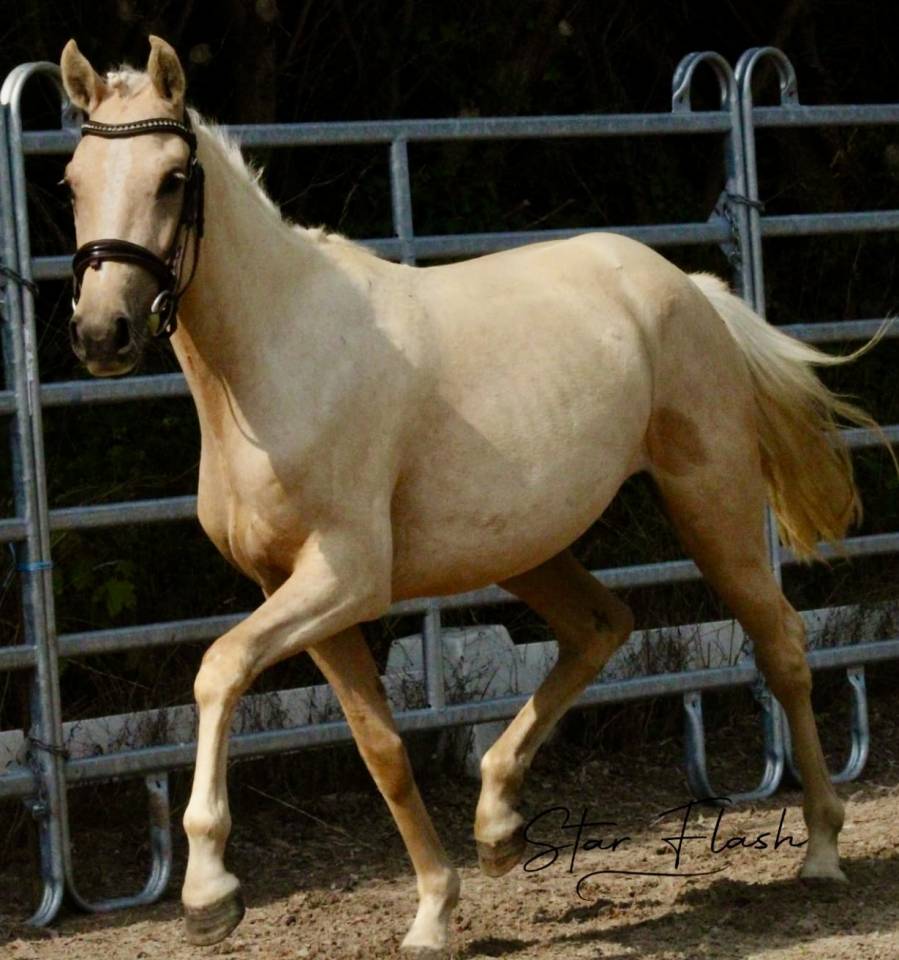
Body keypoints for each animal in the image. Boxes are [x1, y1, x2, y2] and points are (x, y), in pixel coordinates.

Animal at [59, 34, 878, 955]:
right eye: (72, 181)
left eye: (171, 177)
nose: (100, 333)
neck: (275, 362)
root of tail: (688, 287)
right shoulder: (296, 592)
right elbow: (379, 747)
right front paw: (432, 912)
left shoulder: (344, 579)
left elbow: (217, 670)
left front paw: (208, 893)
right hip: (525, 545)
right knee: (601, 626)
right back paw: (497, 826)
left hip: (711, 500)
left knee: (779, 643)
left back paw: (819, 848)